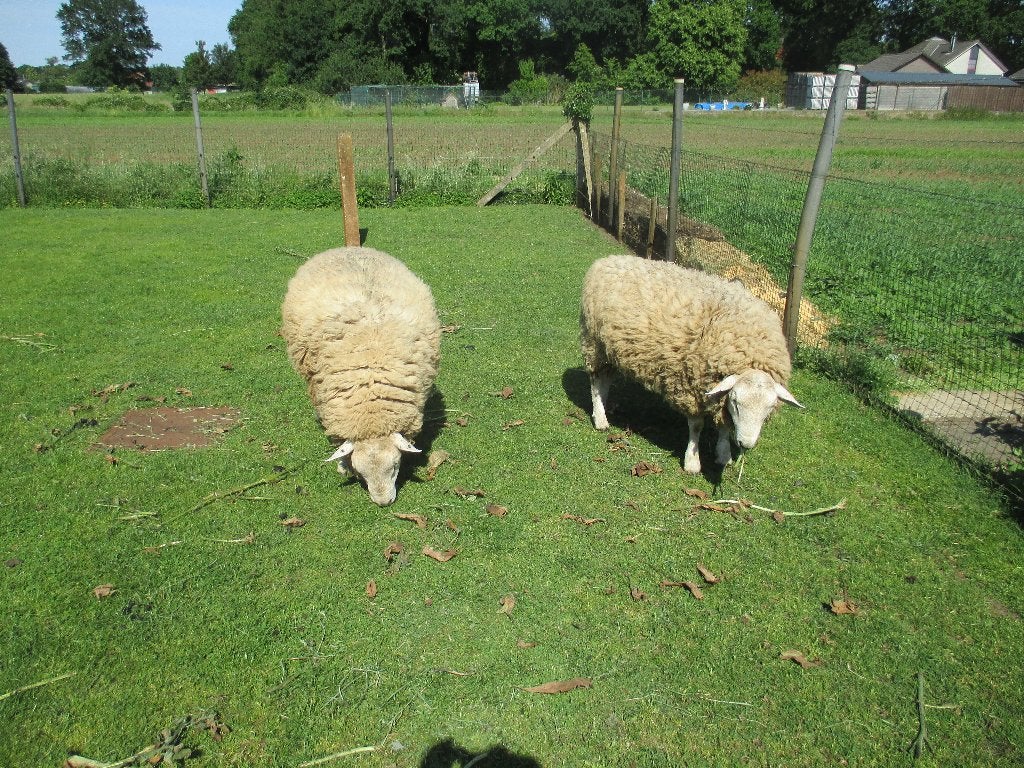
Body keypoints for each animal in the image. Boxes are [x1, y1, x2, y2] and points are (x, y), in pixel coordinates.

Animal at [580, 255, 802, 474]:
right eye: (736, 402)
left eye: (769, 407)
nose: (745, 444)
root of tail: (606, 260)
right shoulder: (690, 387)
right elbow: (696, 426)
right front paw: (692, 462)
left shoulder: (717, 392)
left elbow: (724, 427)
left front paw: (724, 454)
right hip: (594, 343)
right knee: (596, 381)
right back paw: (600, 418)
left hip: (611, 348)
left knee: (606, 379)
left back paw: (603, 406)